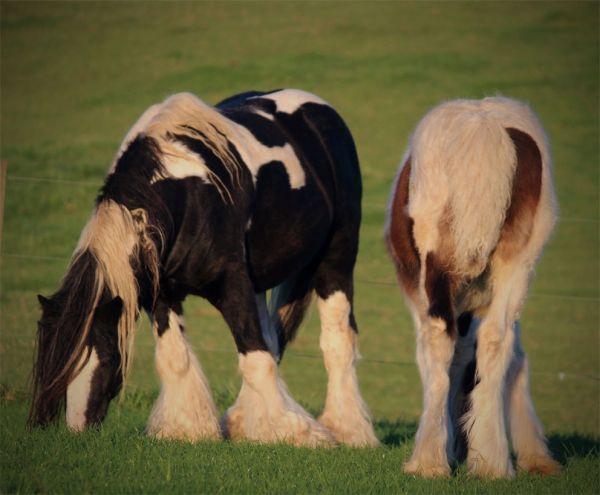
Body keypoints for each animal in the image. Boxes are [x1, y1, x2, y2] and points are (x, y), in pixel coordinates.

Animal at [30, 89, 378, 450]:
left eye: (108, 357)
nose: (77, 430)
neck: (188, 192)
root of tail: (320, 109)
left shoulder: (232, 283)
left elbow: (255, 356)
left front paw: (294, 432)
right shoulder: (163, 293)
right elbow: (176, 356)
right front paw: (188, 429)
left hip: (337, 257)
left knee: (337, 340)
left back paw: (347, 430)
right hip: (260, 283)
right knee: (272, 337)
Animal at [386, 98, 560, 480]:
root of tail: (485, 126)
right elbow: (496, 356)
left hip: (433, 271)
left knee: (439, 339)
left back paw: (428, 461)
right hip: (519, 263)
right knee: (497, 338)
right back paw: (492, 462)